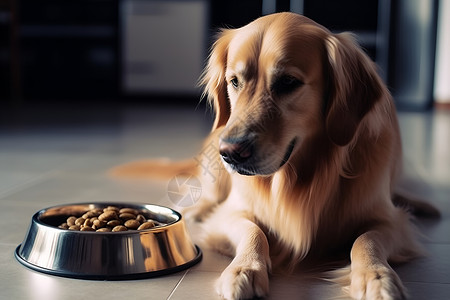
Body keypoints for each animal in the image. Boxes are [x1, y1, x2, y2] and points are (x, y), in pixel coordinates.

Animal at [112, 12, 440, 300]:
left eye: (288, 83)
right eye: (234, 81)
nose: (230, 153)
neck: (303, 176)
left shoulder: (390, 221)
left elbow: (366, 239)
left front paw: (377, 277)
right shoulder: (232, 212)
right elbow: (252, 230)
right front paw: (244, 270)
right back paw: (199, 209)